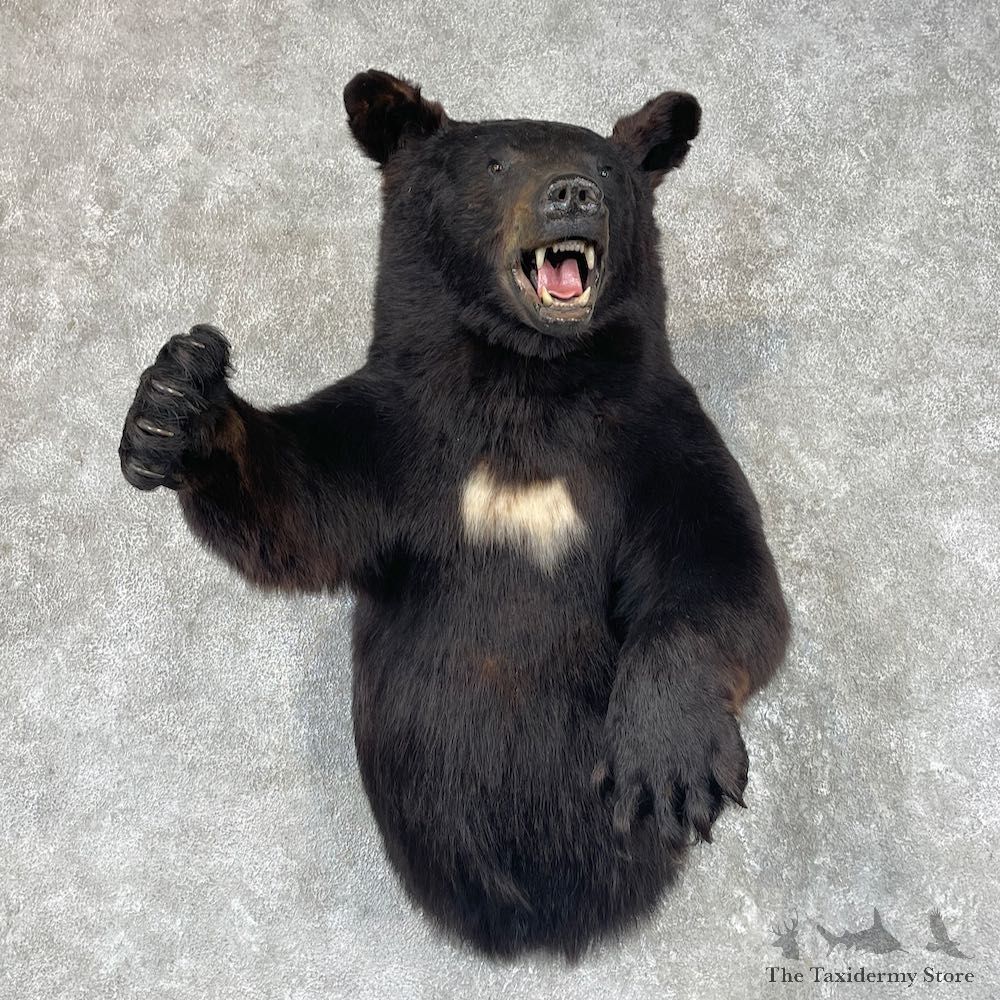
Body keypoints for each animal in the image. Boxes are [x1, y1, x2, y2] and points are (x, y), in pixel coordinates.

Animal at [119, 69, 790, 959]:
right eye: (498, 162)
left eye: (607, 169)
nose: (573, 194)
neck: (525, 382)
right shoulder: (403, 434)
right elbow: (299, 508)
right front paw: (176, 402)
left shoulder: (657, 438)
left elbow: (724, 572)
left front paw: (667, 761)